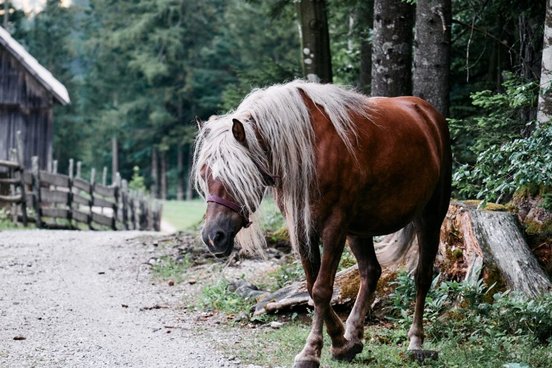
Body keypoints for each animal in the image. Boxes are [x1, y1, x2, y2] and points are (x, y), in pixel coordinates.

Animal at [192, 81, 450, 368]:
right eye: (204, 174)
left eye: (237, 176)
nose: (213, 236)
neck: (309, 150)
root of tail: (428, 114)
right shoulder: (302, 228)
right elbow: (311, 286)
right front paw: (341, 342)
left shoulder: (334, 228)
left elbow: (322, 290)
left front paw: (311, 351)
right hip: (358, 229)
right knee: (371, 271)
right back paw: (354, 333)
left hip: (430, 218)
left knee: (422, 276)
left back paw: (416, 342)